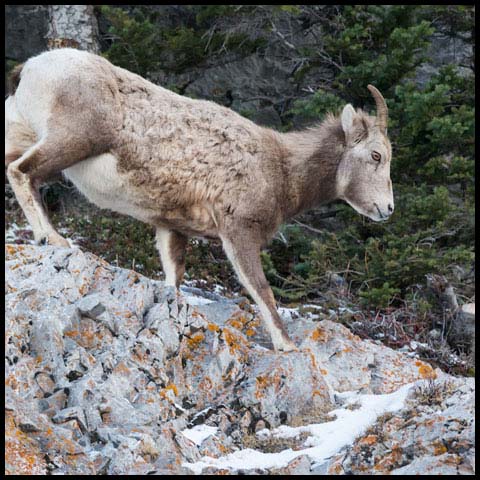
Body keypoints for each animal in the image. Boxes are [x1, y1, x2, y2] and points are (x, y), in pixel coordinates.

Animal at [4, 48, 394, 352]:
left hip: (25, 133)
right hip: (75, 139)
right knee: (22, 171)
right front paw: (287, 344)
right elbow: (262, 290)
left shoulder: (171, 228)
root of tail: (30, 69)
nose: (387, 209)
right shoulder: (238, 230)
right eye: (376, 155)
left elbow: (172, 278)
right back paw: (52, 238)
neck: (281, 169)